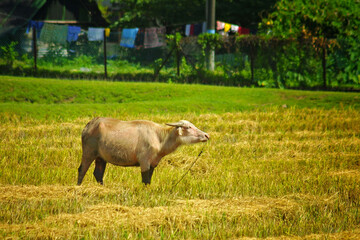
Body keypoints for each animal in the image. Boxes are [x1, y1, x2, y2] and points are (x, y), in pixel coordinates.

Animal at [77, 118, 210, 186]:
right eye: (188, 127)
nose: (206, 135)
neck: (159, 138)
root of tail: (88, 126)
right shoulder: (144, 161)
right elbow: (145, 180)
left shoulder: (153, 164)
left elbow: (149, 180)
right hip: (88, 153)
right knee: (82, 170)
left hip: (101, 158)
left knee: (98, 174)